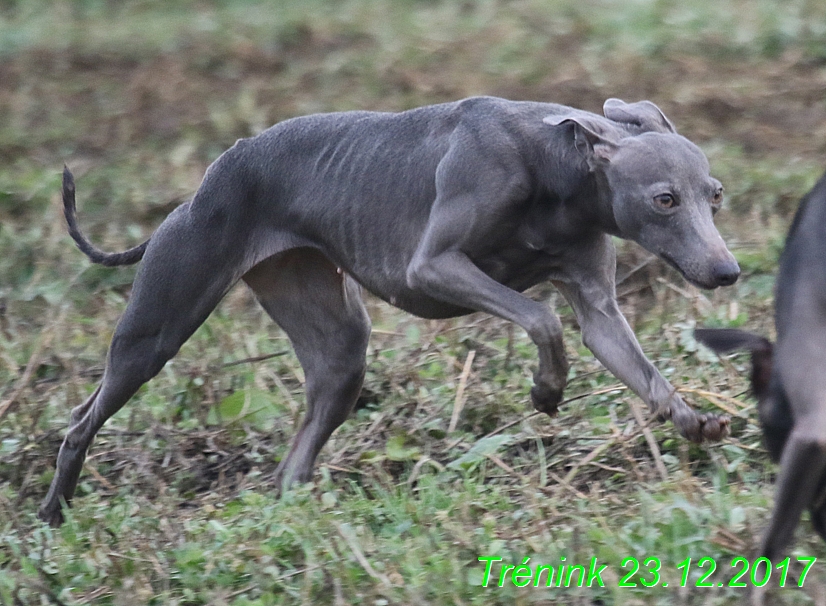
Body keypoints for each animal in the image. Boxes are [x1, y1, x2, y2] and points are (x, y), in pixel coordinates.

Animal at [38, 96, 736, 528]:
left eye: (715, 196)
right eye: (665, 199)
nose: (727, 272)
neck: (560, 167)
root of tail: (209, 179)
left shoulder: (598, 307)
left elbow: (632, 363)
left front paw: (695, 420)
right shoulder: (432, 267)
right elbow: (541, 317)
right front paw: (546, 389)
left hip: (337, 344)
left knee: (297, 457)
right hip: (159, 324)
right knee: (81, 419)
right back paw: (52, 515)